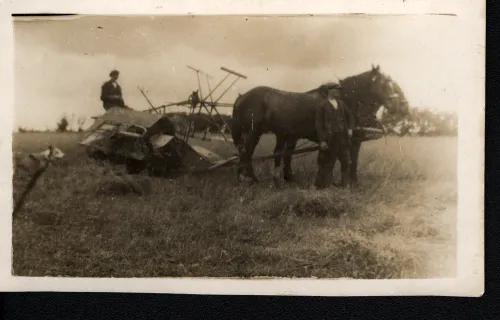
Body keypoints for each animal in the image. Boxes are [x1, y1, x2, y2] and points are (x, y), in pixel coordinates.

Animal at [232, 64, 408, 185]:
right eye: (384, 83)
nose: (400, 107)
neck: (345, 99)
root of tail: (242, 96)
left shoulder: (354, 140)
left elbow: (353, 160)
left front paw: (353, 182)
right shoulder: (346, 140)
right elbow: (344, 160)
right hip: (253, 132)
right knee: (246, 152)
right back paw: (246, 178)